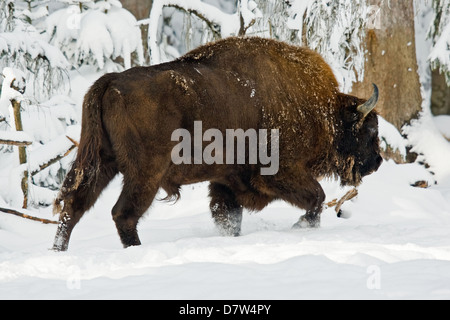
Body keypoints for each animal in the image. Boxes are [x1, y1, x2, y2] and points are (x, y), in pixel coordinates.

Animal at [53, 36, 384, 251]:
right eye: (370, 131)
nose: (377, 162)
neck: (321, 109)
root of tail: (110, 81)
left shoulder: (226, 181)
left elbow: (229, 218)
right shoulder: (279, 173)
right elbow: (317, 197)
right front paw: (301, 227)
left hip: (101, 162)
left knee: (74, 205)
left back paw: (59, 250)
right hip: (145, 173)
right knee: (123, 213)